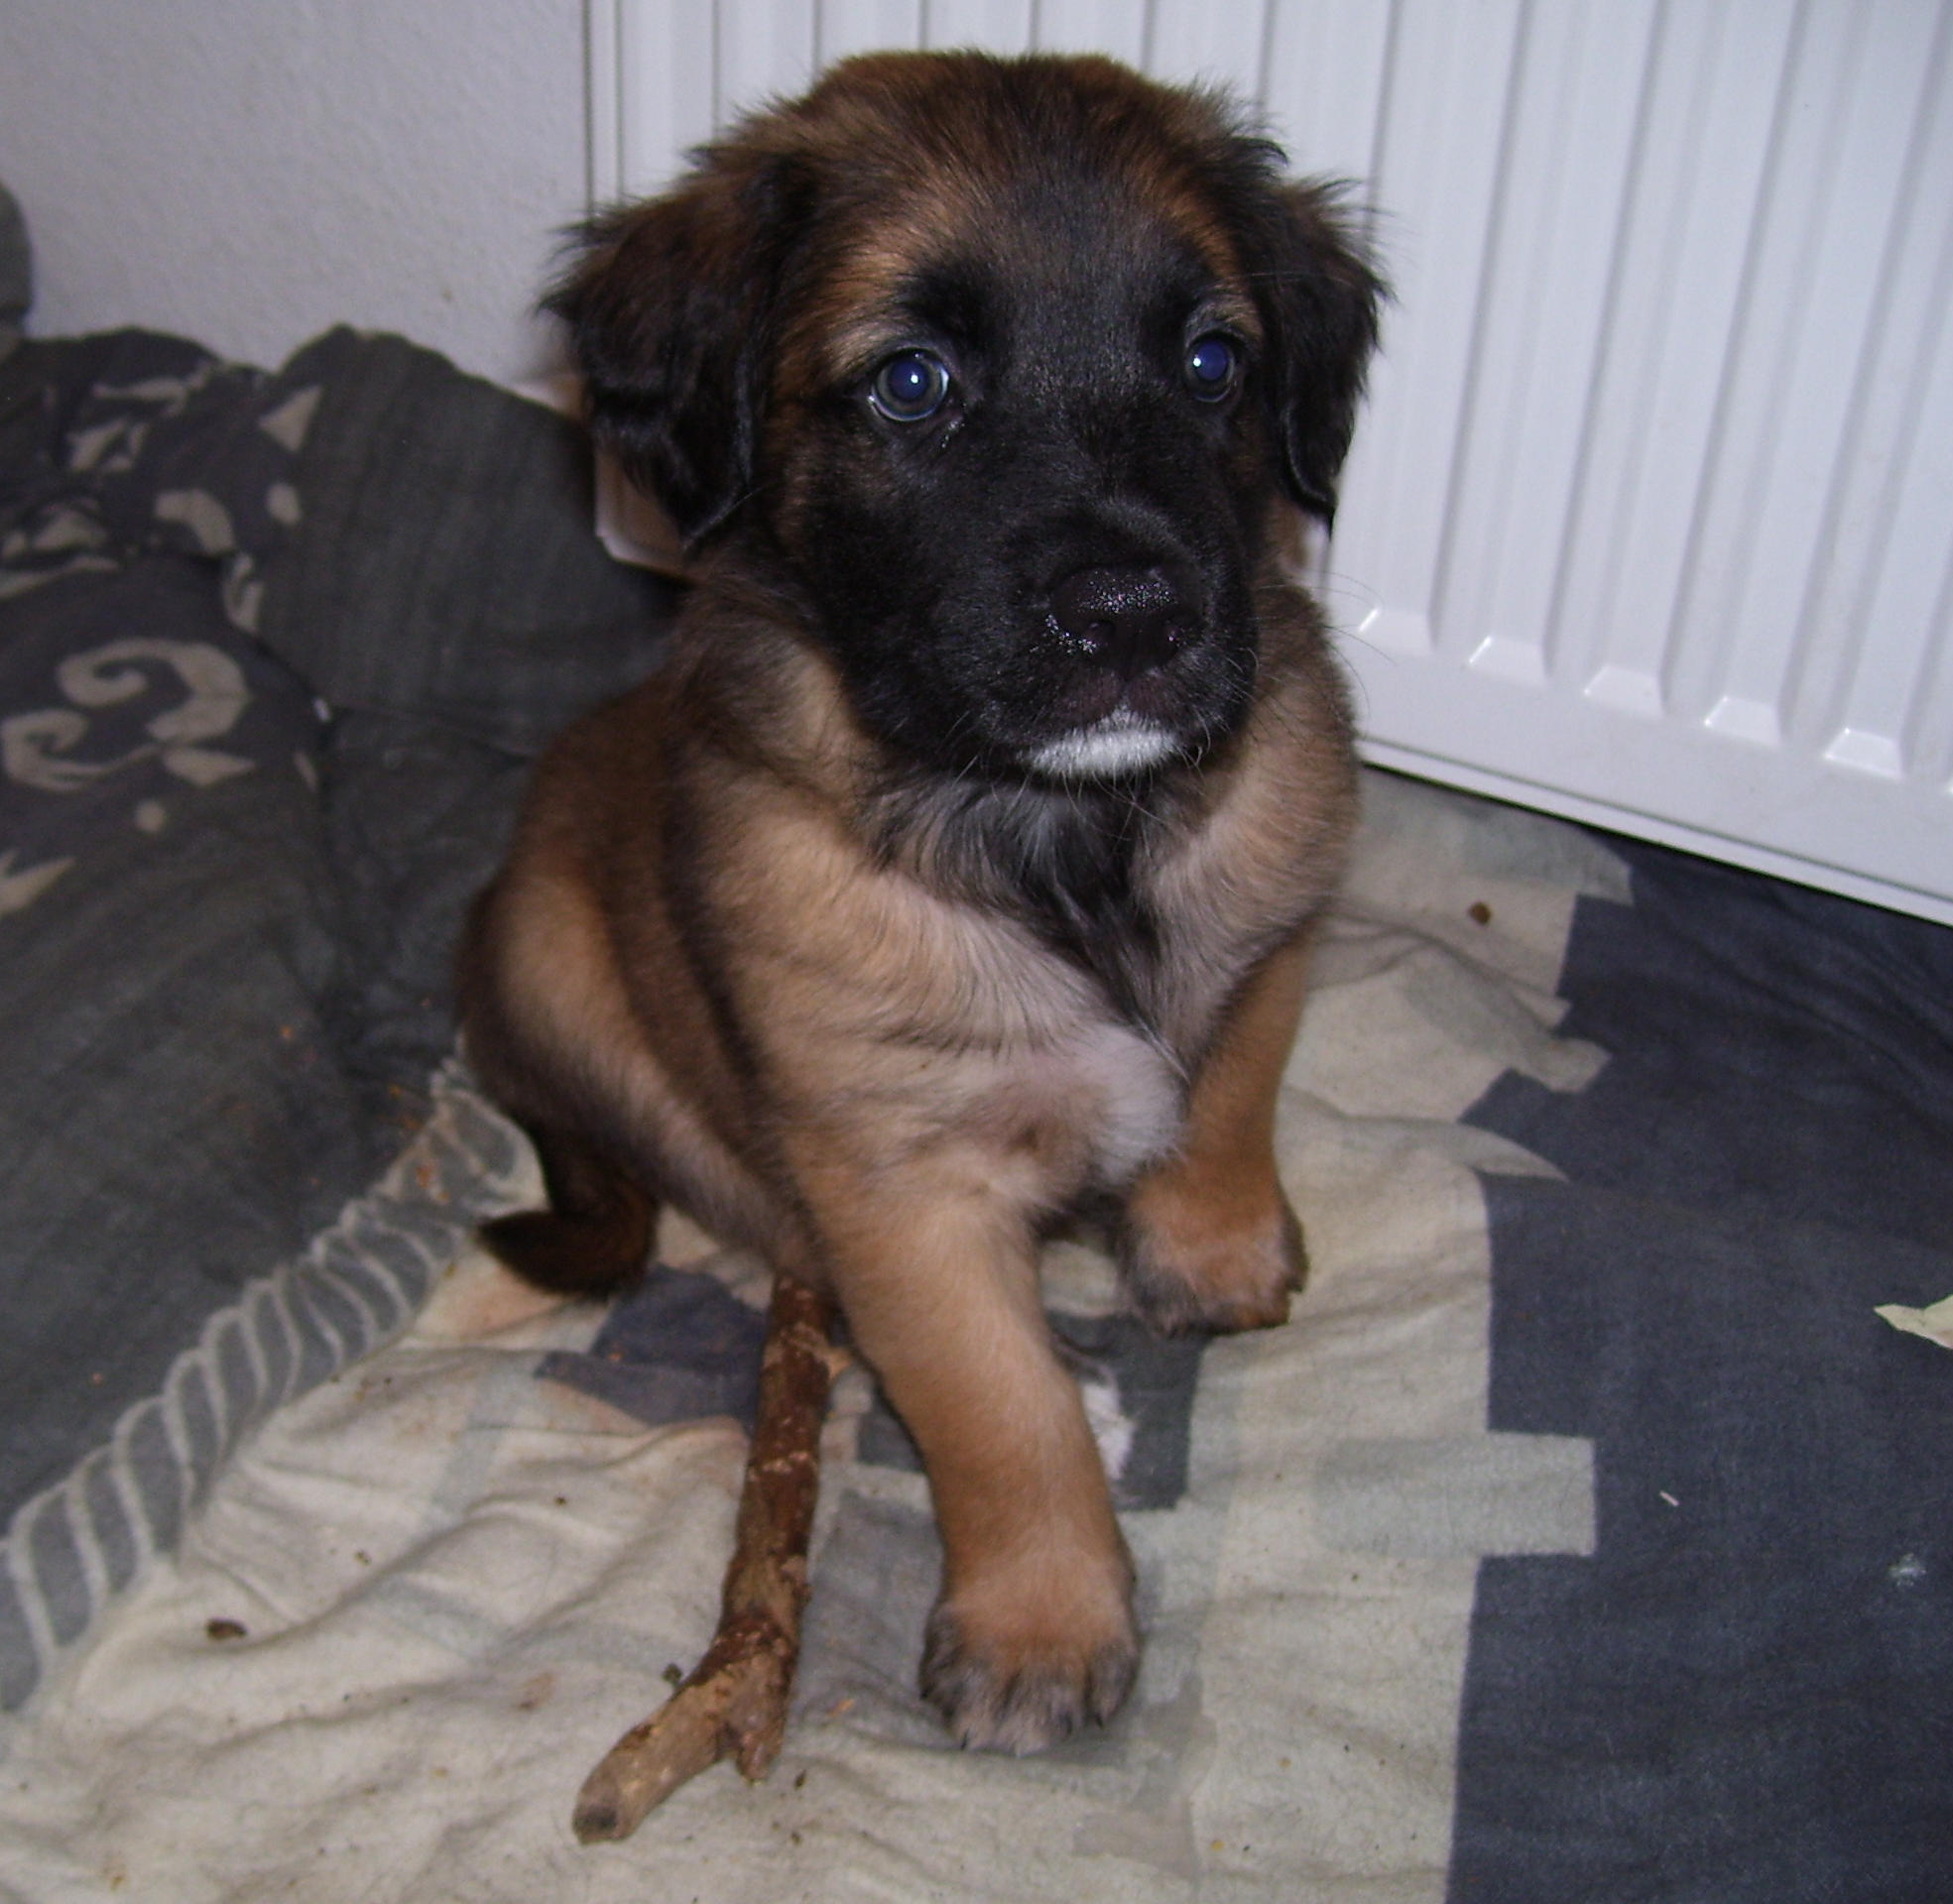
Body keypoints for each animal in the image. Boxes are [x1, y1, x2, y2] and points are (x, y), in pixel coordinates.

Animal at [458, 48, 1383, 1757]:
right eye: (911, 383)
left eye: (1213, 362)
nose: (1135, 618)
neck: (1069, 842)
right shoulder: (904, 1184)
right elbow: (998, 1411)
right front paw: (1041, 1624)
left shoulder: (1273, 920)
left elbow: (1229, 1084)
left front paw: (1210, 1244)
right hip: (552, 960)